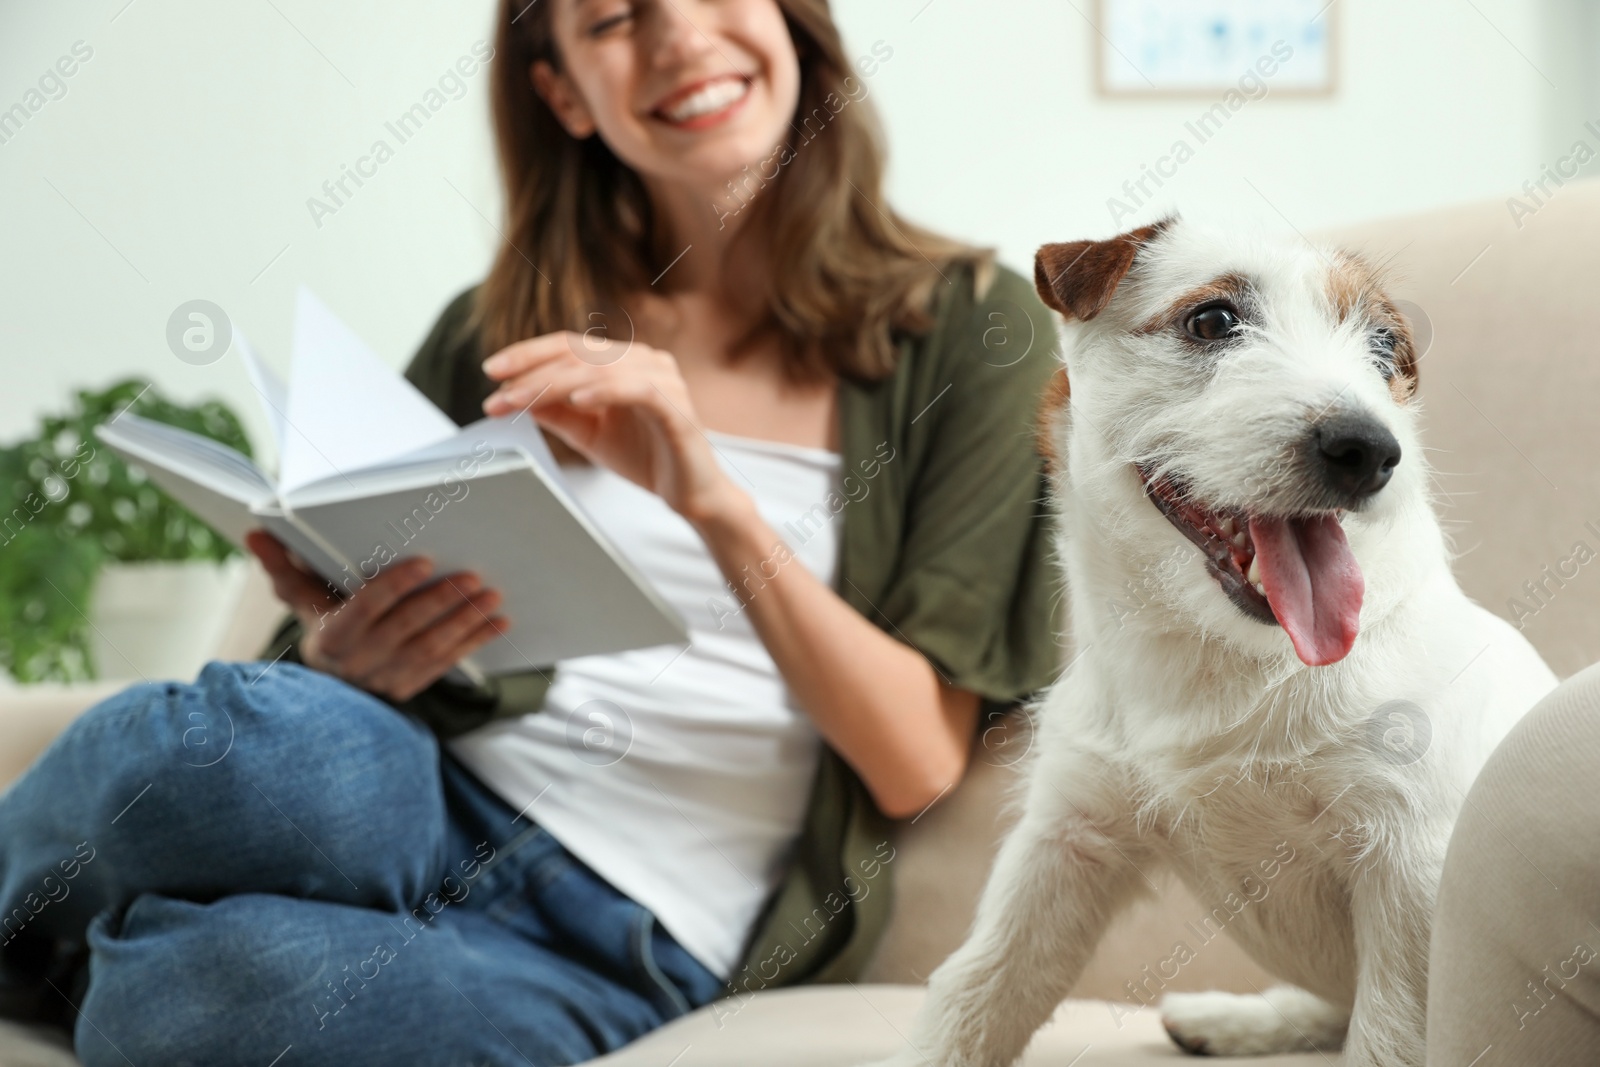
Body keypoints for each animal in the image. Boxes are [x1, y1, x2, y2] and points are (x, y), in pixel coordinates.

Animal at [870, 219, 1555, 1067]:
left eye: (1383, 346)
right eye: (1214, 320)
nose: (1369, 448)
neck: (1219, 657)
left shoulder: (1411, 872)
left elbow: (1387, 1036)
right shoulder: (1066, 842)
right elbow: (979, 989)